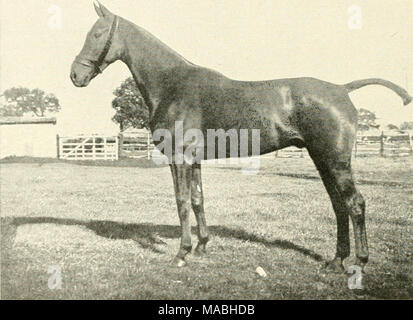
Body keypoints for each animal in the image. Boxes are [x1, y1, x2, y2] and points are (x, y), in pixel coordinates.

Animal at [69, 2, 410, 272]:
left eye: (96, 34)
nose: (75, 75)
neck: (173, 83)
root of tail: (342, 88)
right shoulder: (194, 160)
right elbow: (198, 200)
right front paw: (202, 246)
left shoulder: (179, 158)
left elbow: (182, 202)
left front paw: (181, 254)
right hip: (322, 159)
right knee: (339, 205)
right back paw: (336, 261)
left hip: (335, 160)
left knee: (355, 203)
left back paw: (359, 263)